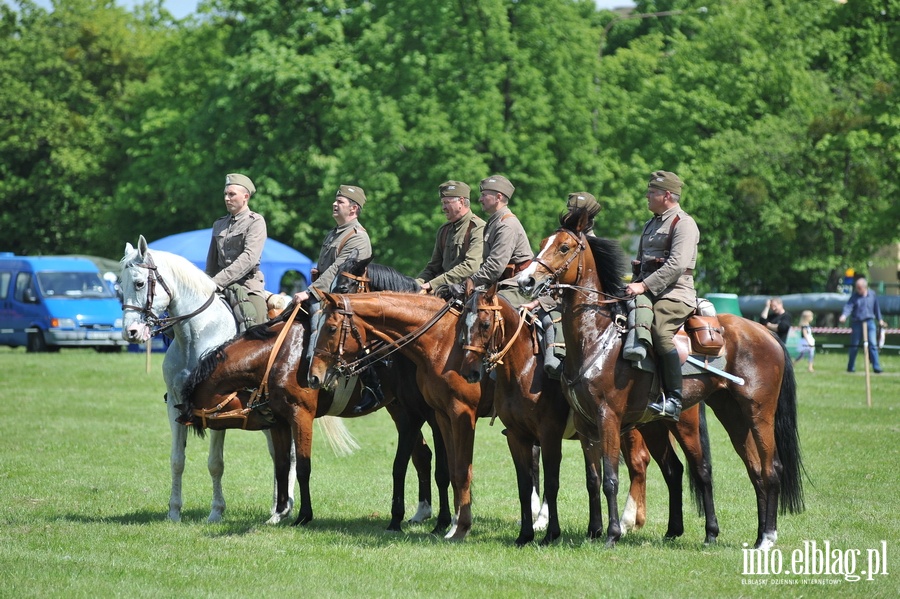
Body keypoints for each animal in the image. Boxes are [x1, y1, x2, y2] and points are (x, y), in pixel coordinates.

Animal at [119, 237, 306, 524]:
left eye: (139, 283)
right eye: (119, 285)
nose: (131, 332)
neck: (197, 335)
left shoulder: (218, 410)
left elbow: (215, 464)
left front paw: (216, 512)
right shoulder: (174, 405)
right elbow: (177, 459)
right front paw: (174, 512)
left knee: (290, 455)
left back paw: (282, 510)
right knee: (279, 454)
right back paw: (277, 508)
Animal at [458, 284, 716, 548]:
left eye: (485, 324)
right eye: (462, 324)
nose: (470, 371)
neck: (524, 367)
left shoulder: (549, 435)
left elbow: (552, 482)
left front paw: (551, 533)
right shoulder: (517, 436)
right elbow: (524, 486)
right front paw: (525, 535)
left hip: (682, 426)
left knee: (695, 469)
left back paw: (704, 531)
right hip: (653, 428)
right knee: (673, 470)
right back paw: (672, 530)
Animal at [516, 210, 804, 548]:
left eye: (563, 247)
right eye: (542, 243)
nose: (526, 280)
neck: (596, 337)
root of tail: (765, 333)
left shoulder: (608, 418)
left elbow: (611, 478)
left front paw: (612, 534)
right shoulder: (587, 425)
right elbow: (593, 479)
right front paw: (594, 530)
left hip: (757, 415)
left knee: (769, 469)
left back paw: (767, 537)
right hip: (730, 414)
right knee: (751, 469)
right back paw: (737, 534)